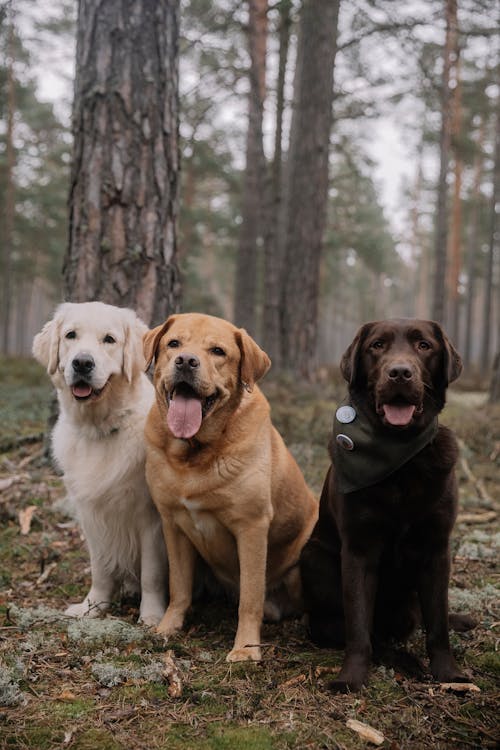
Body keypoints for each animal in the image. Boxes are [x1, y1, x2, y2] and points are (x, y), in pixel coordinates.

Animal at [32, 302, 168, 624]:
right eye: (71, 335)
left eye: (109, 339)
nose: (82, 363)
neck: (101, 428)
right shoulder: (92, 515)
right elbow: (101, 569)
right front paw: (93, 607)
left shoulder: (151, 518)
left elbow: (152, 574)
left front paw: (152, 617)